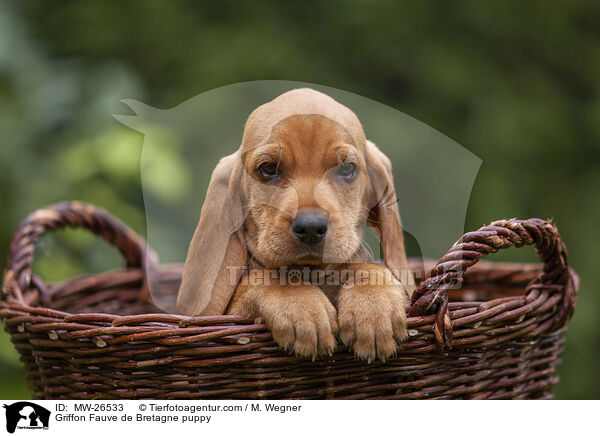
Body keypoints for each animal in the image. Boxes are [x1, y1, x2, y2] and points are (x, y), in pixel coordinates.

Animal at [178, 87, 412, 362]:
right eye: (268, 168)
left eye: (347, 168)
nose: (311, 227)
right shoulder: (229, 314)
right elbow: (265, 277)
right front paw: (300, 305)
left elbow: (366, 267)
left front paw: (373, 305)